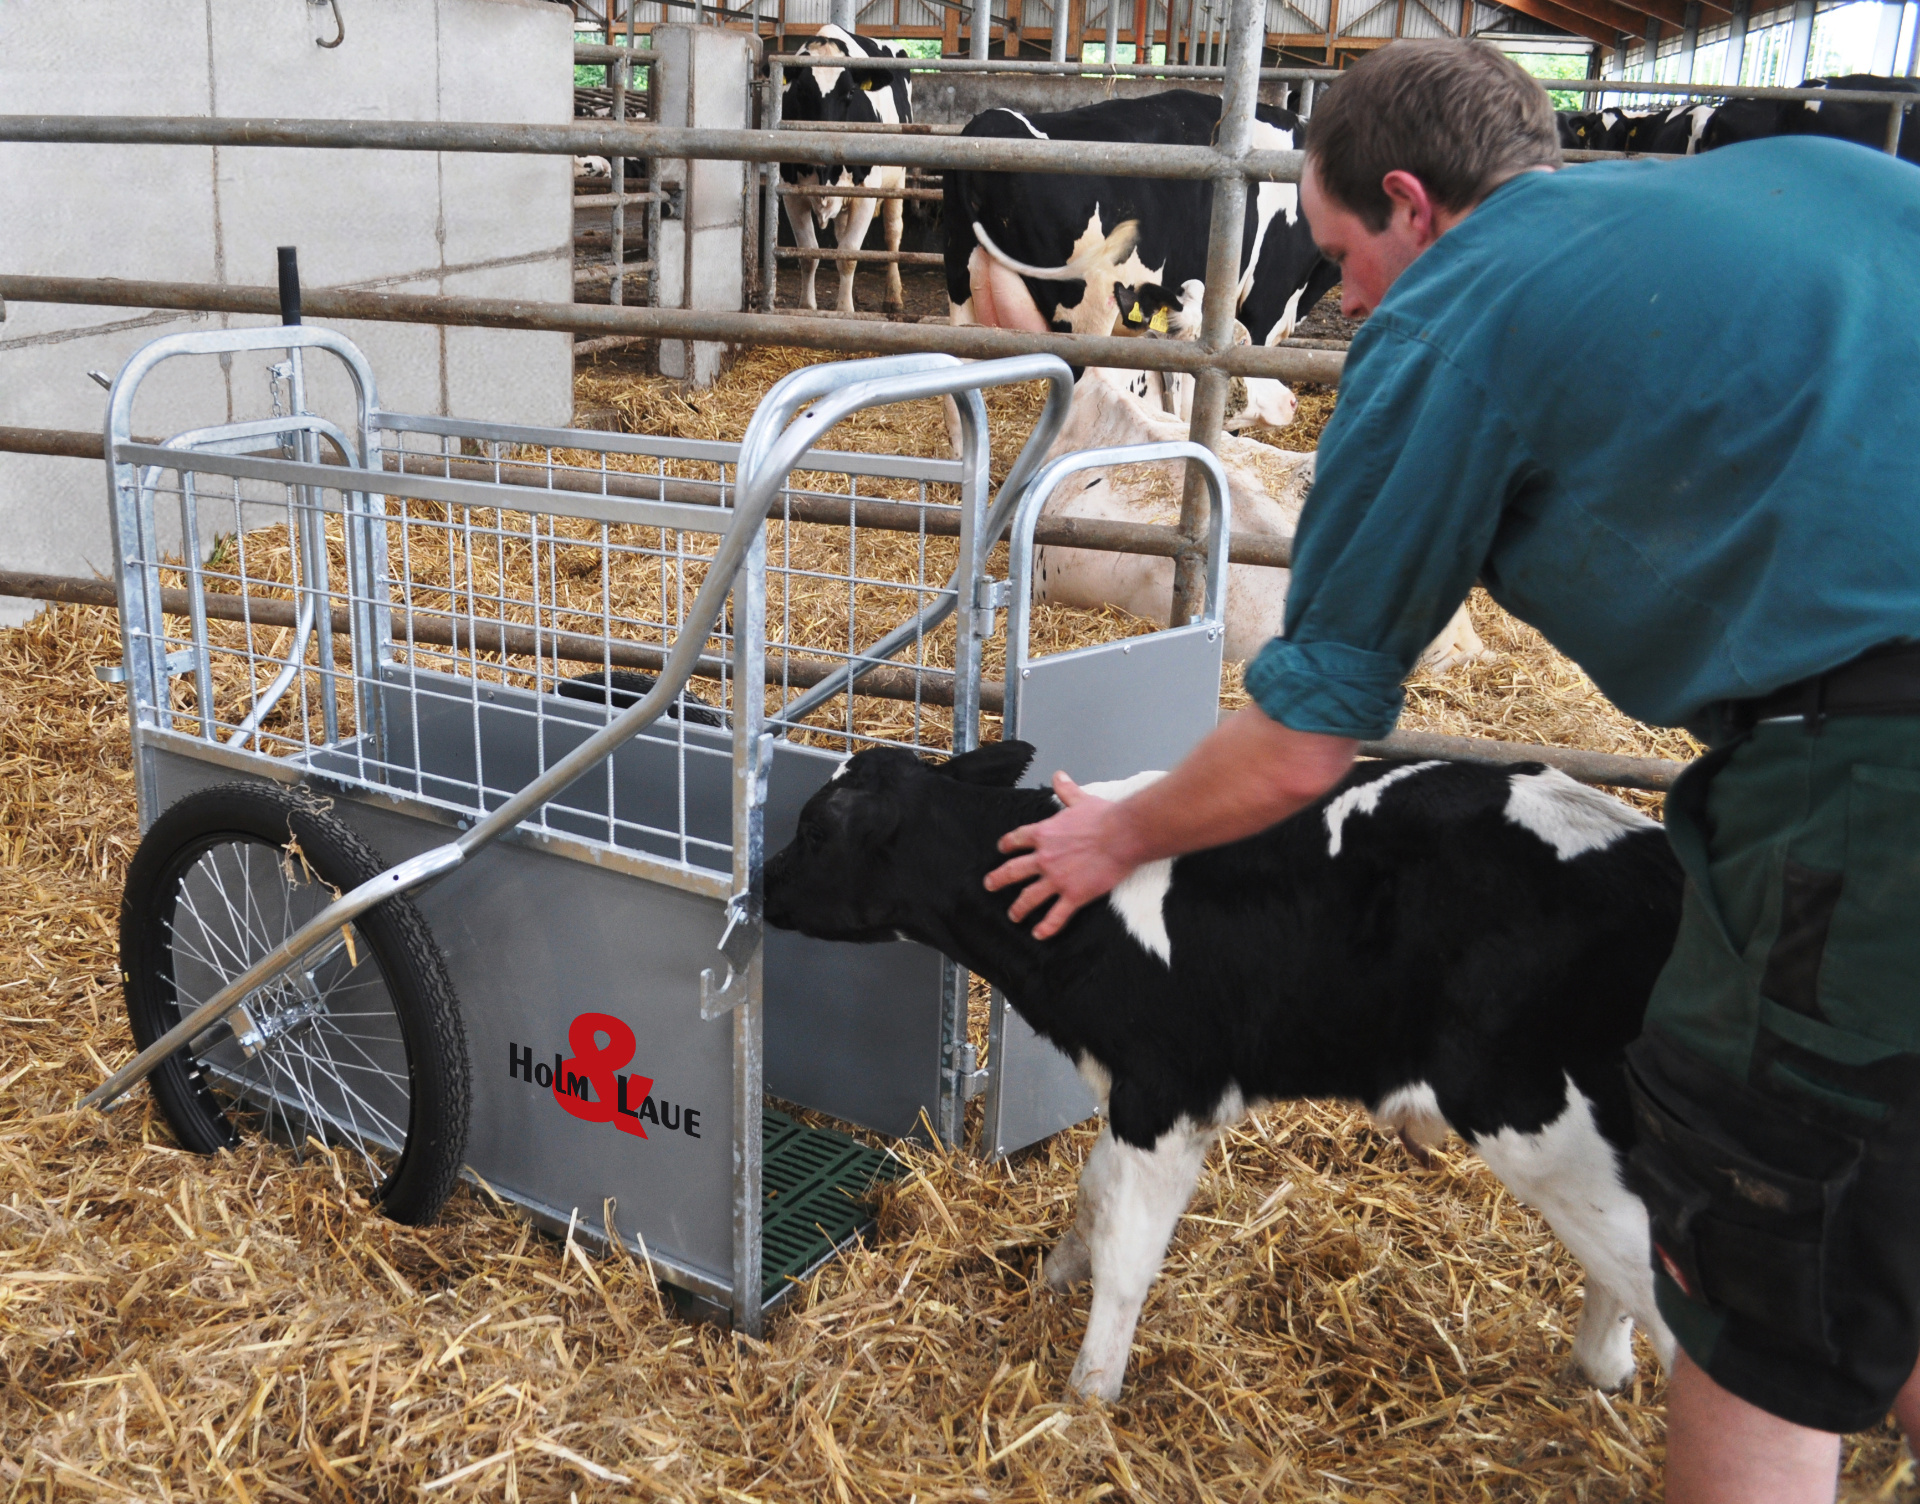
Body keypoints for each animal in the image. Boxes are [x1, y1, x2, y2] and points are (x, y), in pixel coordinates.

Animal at [756, 745, 1689, 1406]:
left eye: (814, 829)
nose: (759, 887)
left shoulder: (1168, 1093)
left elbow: (1129, 1254)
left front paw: (1088, 1394)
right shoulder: (1131, 1088)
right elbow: (1094, 1199)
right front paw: (1055, 1280)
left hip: (1542, 1123)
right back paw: (1601, 1367)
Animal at [771, 24, 913, 315]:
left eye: (850, 92)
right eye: (801, 91)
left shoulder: (866, 195)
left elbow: (848, 255)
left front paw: (845, 310)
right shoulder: (791, 193)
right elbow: (809, 253)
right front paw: (807, 306)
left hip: (897, 181)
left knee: (893, 234)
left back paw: (893, 296)